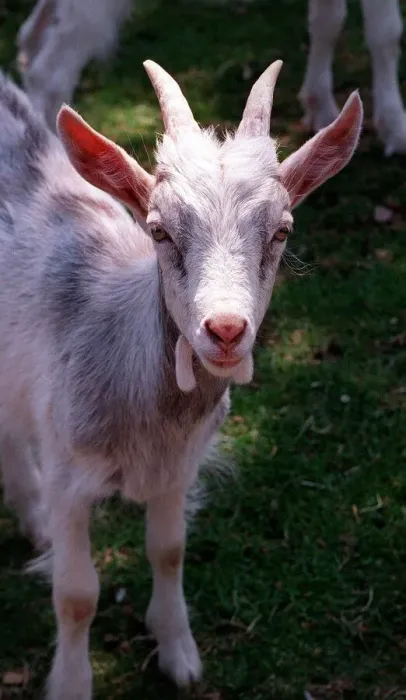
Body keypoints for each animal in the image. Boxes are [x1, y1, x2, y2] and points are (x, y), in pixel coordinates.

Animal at [0, 59, 362, 699]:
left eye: (282, 231)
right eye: (160, 230)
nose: (225, 328)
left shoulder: (177, 468)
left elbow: (168, 551)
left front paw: (179, 654)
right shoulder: (68, 469)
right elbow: (77, 596)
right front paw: (71, 683)